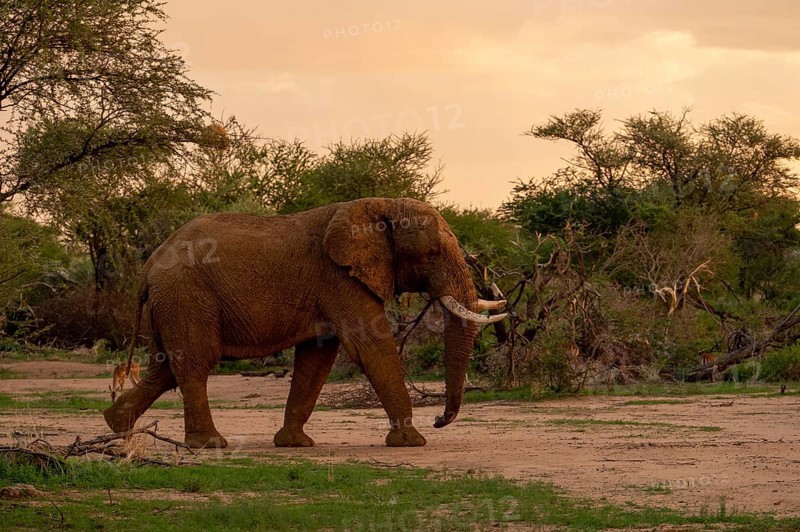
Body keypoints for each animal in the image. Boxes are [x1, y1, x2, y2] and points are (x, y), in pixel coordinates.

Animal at [103, 198, 507, 448]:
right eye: (432, 253)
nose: (439, 419)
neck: (381, 206)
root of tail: (148, 268)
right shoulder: (340, 278)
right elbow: (369, 346)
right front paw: (412, 443)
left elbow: (317, 358)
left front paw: (294, 444)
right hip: (186, 297)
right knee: (194, 364)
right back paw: (209, 444)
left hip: (171, 304)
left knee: (165, 369)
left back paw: (116, 427)